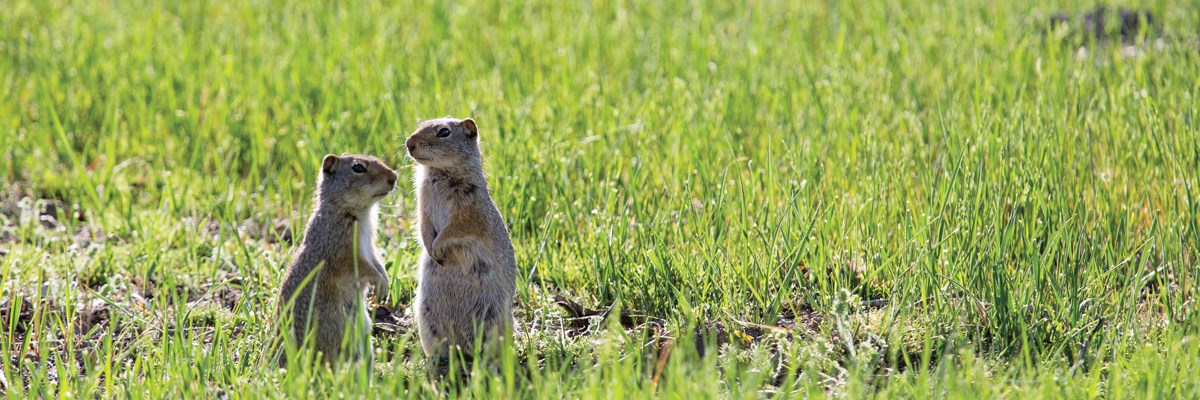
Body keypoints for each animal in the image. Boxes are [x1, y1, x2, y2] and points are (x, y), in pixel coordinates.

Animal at [276, 151, 398, 365]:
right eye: (358, 168)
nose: (394, 177)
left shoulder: (370, 246)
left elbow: (376, 261)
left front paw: (384, 279)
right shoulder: (342, 252)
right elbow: (361, 267)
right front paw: (379, 281)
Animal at [408, 115, 516, 360]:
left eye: (444, 132)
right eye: (419, 125)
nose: (409, 143)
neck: (439, 173)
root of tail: (461, 350)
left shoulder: (468, 211)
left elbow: (455, 229)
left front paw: (438, 247)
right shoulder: (423, 205)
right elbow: (423, 225)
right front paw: (430, 248)